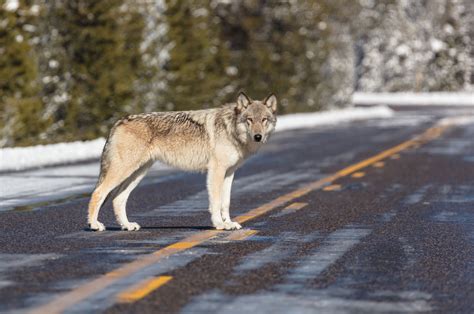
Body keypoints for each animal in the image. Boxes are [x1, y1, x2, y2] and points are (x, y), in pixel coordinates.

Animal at [88, 92, 278, 232]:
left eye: (264, 120)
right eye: (250, 120)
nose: (258, 136)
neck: (231, 129)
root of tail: (118, 122)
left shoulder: (229, 172)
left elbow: (226, 202)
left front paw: (229, 223)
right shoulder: (216, 171)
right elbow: (216, 202)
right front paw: (219, 224)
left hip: (137, 173)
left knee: (118, 199)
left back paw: (127, 226)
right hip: (124, 171)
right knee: (98, 192)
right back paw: (94, 225)